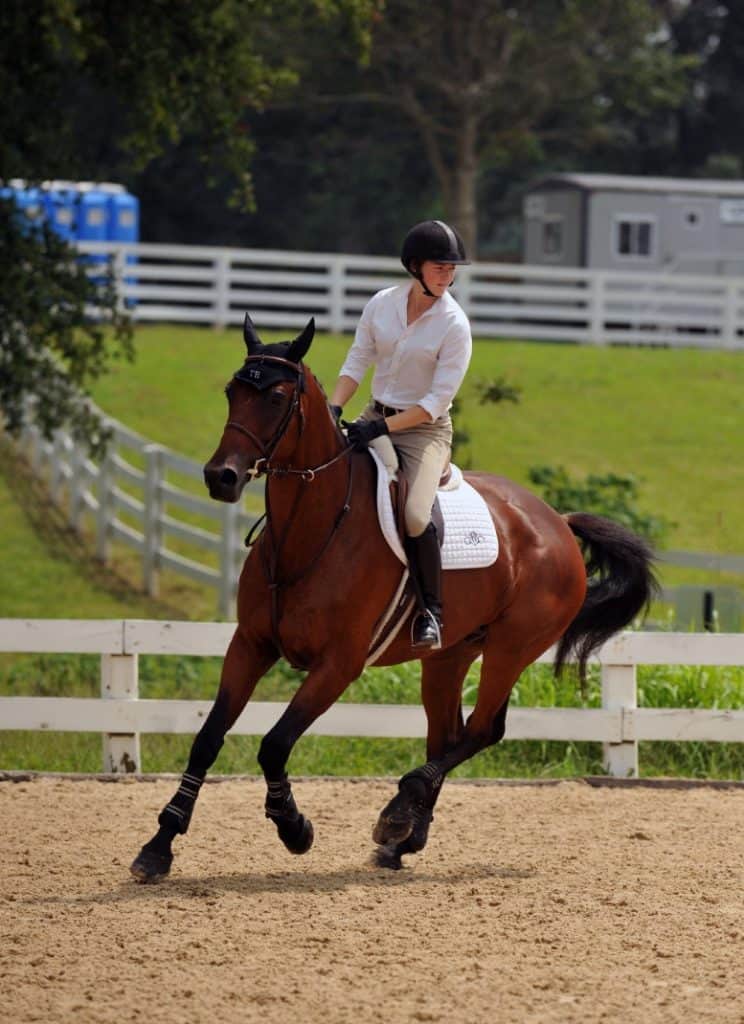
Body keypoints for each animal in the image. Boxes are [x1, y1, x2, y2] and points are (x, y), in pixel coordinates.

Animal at [130, 313, 654, 880]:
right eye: (233, 391)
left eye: (276, 397)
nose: (220, 477)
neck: (312, 529)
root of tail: (556, 520)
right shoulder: (250, 644)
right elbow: (207, 739)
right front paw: (158, 846)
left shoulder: (338, 664)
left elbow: (274, 745)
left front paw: (294, 827)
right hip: (450, 654)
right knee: (447, 733)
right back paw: (404, 838)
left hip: (512, 647)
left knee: (482, 729)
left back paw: (399, 811)